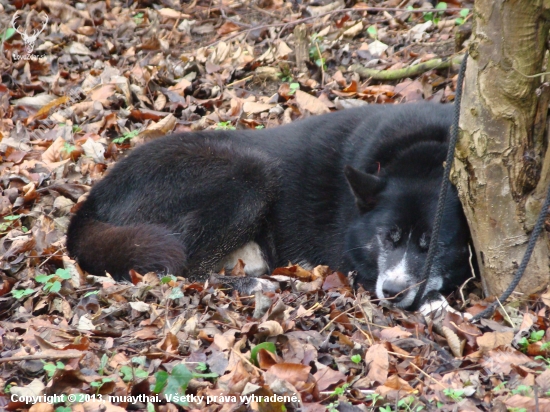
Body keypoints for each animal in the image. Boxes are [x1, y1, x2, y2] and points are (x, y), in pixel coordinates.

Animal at [68, 104, 474, 312]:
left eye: (434, 245)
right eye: (387, 238)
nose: (391, 292)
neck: (424, 152)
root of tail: (93, 201)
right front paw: (433, 302)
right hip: (251, 173)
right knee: (187, 269)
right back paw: (258, 284)